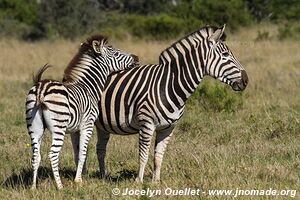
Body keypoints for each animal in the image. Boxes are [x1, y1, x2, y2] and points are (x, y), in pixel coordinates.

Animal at [25, 34, 139, 189]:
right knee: (53, 155)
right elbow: (83, 153)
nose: (136, 58)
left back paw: (33, 187)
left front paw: (79, 176)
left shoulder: (74, 129)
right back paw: (60, 187)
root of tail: (41, 88)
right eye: (115, 53)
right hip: (59, 126)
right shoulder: (88, 124)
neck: (89, 86)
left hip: (35, 126)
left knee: (36, 156)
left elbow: (77, 153)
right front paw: (78, 180)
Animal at [70, 23, 248, 183]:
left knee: (100, 148)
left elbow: (158, 156)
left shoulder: (168, 128)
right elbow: (143, 154)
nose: (246, 80)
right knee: (80, 147)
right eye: (225, 55)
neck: (170, 85)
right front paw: (139, 182)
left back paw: (102, 176)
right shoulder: (147, 124)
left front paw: (156, 182)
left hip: (103, 124)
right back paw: (83, 175)